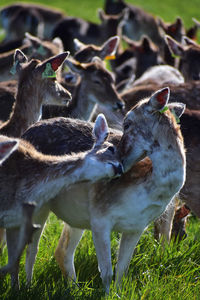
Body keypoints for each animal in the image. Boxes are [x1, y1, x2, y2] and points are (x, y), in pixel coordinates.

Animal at [21, 86, 186, 292]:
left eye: (127, 123)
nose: (120, 162)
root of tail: (25, 132)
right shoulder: (100, 217)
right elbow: (106, 271)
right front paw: (107, 293)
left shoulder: (137, 226)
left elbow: (122, 268)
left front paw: (118, 293)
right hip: (38, 202)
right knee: (32, 247)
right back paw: (26, 287)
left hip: (77, 216)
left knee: (62, 250)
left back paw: (74, 288)